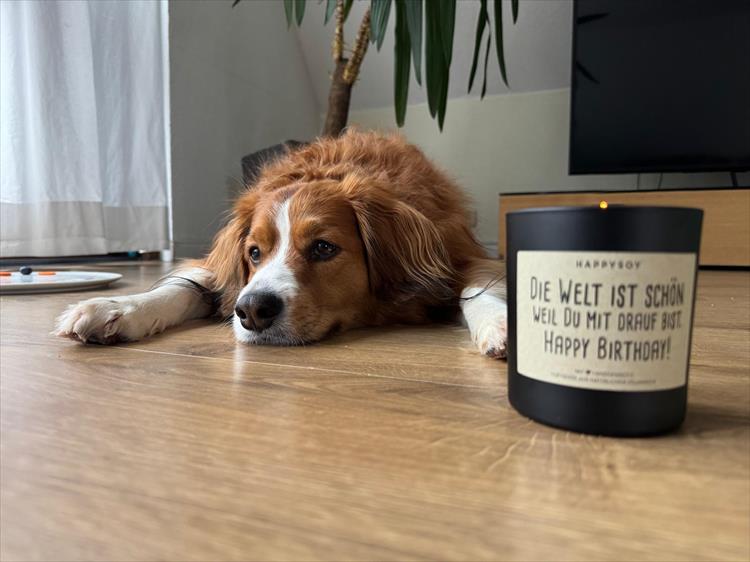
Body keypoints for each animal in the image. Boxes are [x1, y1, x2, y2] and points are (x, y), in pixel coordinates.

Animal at [55, 131, 508, 358]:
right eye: (254, 253)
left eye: (324, 248)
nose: (252, 312)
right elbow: (180, 288)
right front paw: (115, 308)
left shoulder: (459, 254)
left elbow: (478, 288)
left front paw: (502, 324)